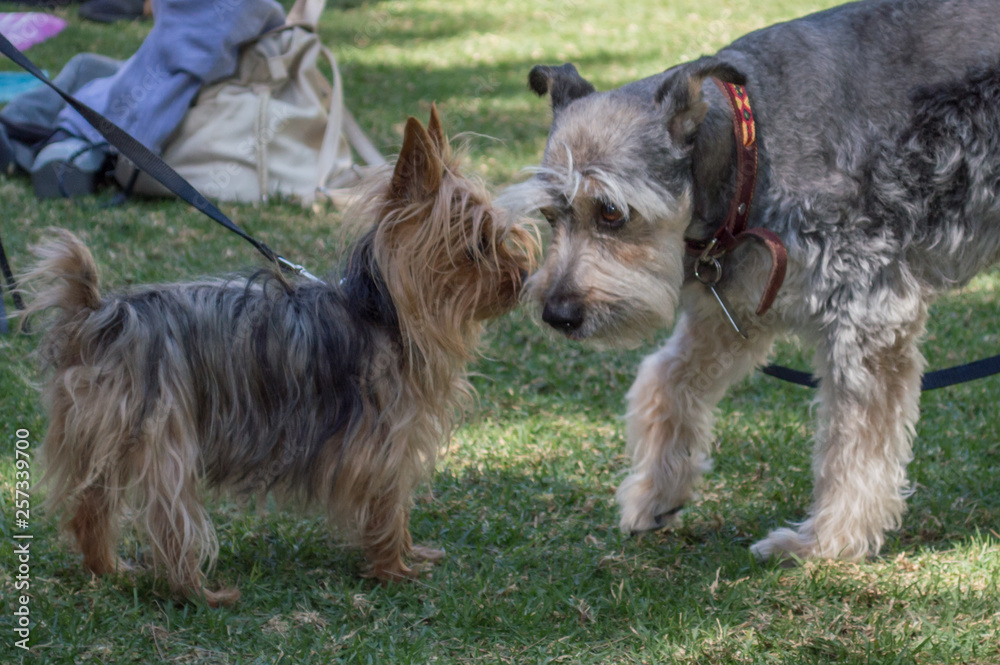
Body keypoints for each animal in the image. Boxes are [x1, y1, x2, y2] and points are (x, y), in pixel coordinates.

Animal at [504, 0, 1000, 560]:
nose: (557, 314)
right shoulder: (732, 311)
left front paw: (826, 541)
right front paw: (656, 494)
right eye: (550, 214)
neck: (750, 153)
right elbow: (665, 380)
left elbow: (852, 446)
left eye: (611, 212)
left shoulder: (868, 318)